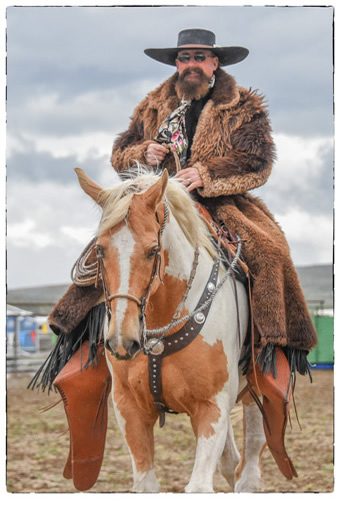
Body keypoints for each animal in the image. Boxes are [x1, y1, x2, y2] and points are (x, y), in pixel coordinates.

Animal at [73, 166, 266, 490]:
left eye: (153, 250)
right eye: (99, 250)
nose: (122, 341)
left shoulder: (212, 408)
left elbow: (199, 487)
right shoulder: (129, 409)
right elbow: (146, 484)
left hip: (257, 392)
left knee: (249, 467)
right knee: (231, 463)